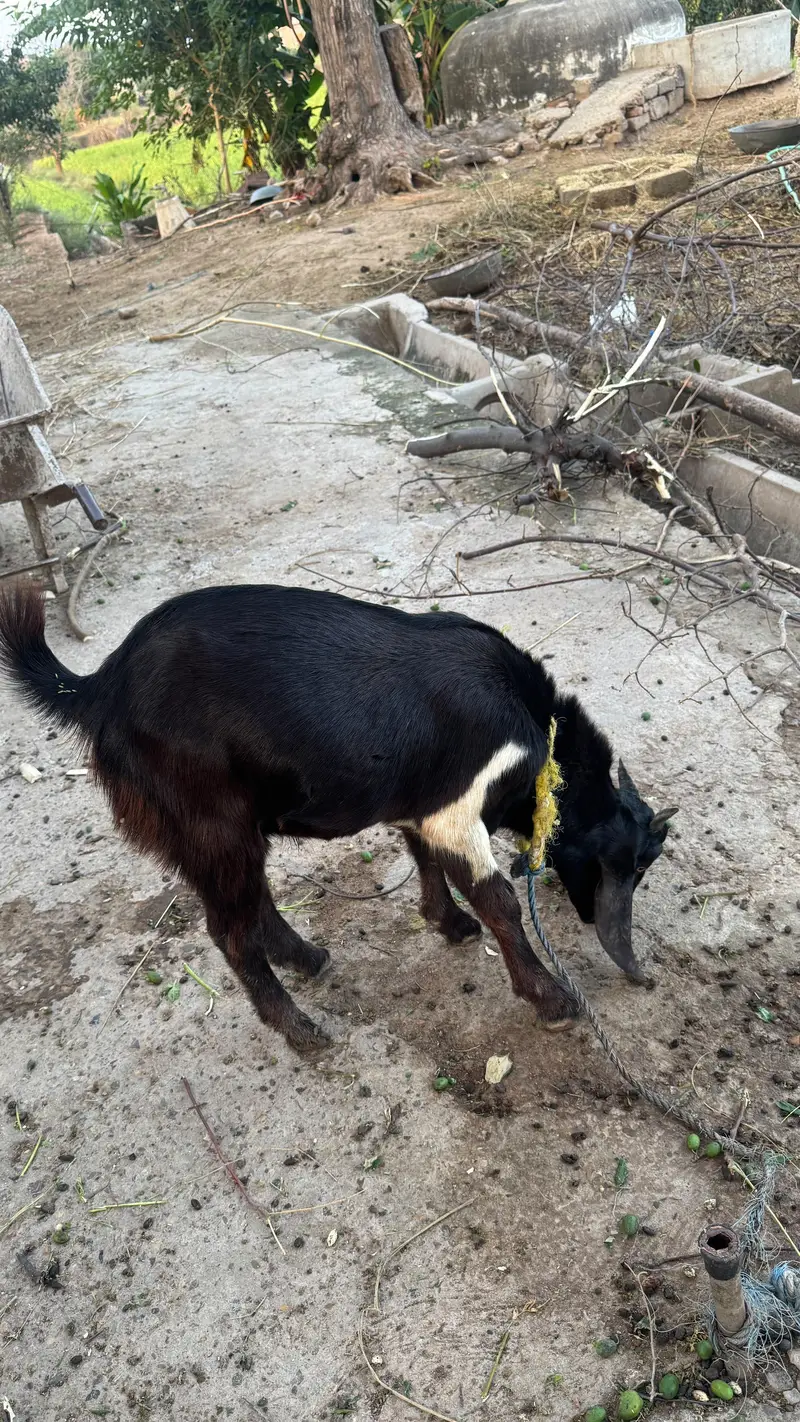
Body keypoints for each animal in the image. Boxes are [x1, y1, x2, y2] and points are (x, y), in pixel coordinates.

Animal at [0, 582, 677, 1052]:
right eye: (636, 865)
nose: (634, 970)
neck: (538, 724)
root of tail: (99, 686)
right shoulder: (458, 805)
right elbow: (498, 899)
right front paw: (553, 1000)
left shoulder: (421, 805)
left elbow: (426, 859)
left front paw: (449, 925)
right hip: (210, 819)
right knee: (230, 931)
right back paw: (300, 1030)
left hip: (222, 827)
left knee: (250, 901)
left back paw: (306, 959)